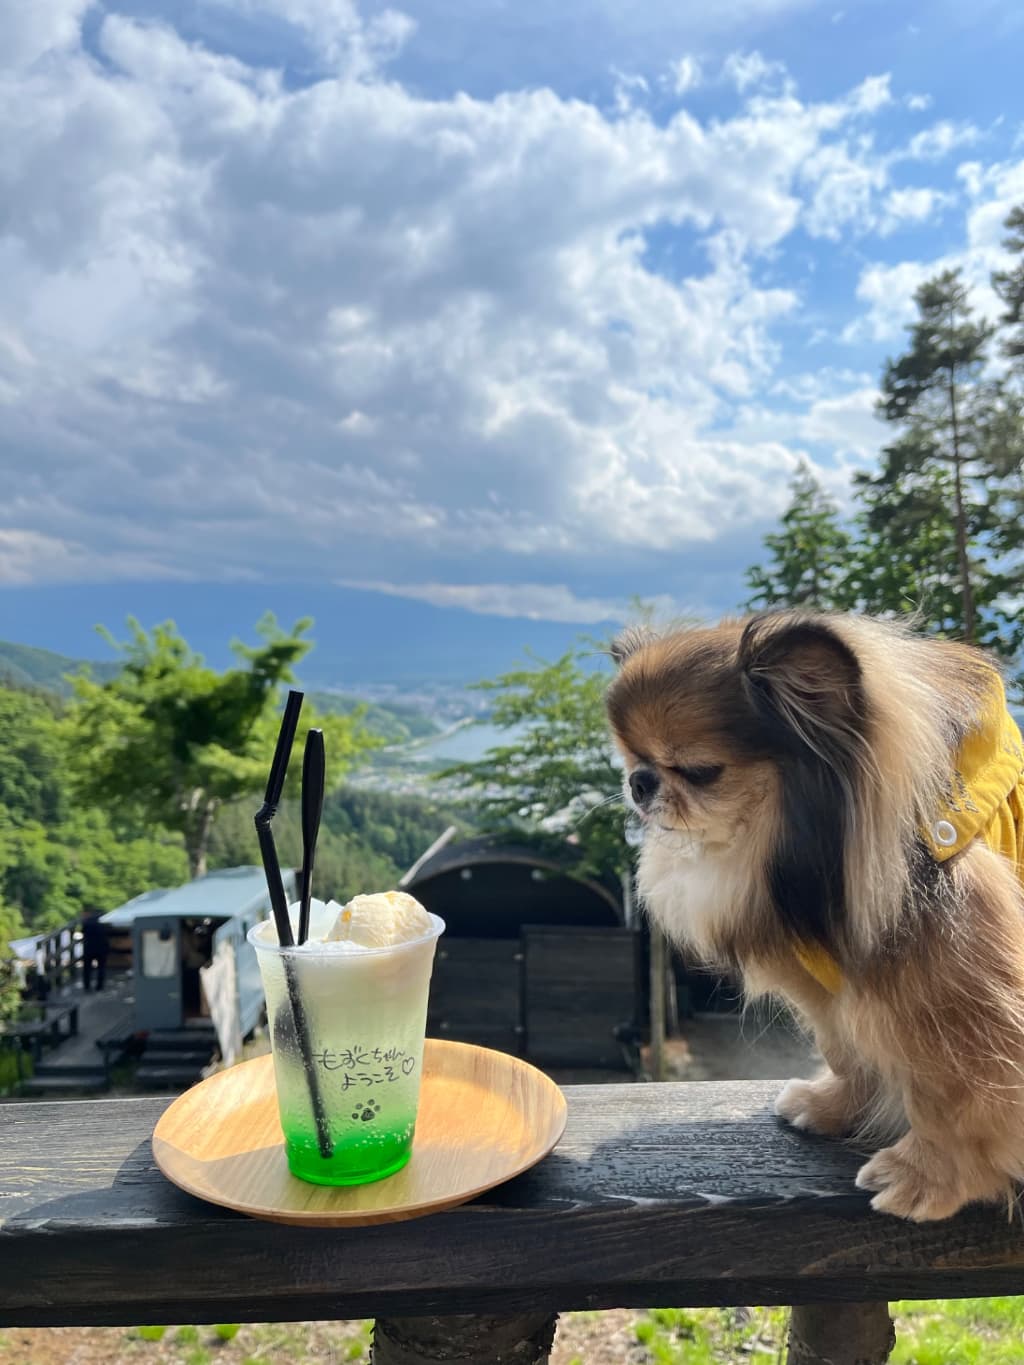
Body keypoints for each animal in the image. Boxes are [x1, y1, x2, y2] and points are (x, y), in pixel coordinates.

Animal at [606, 610, 1024, 1222]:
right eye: (631, 760)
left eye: (701, 771)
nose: (639, 782)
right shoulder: (834, 997)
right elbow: (850, 1055)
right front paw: (832, 1107)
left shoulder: (960, 1005)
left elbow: (959, 1097)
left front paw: (924, 1174)